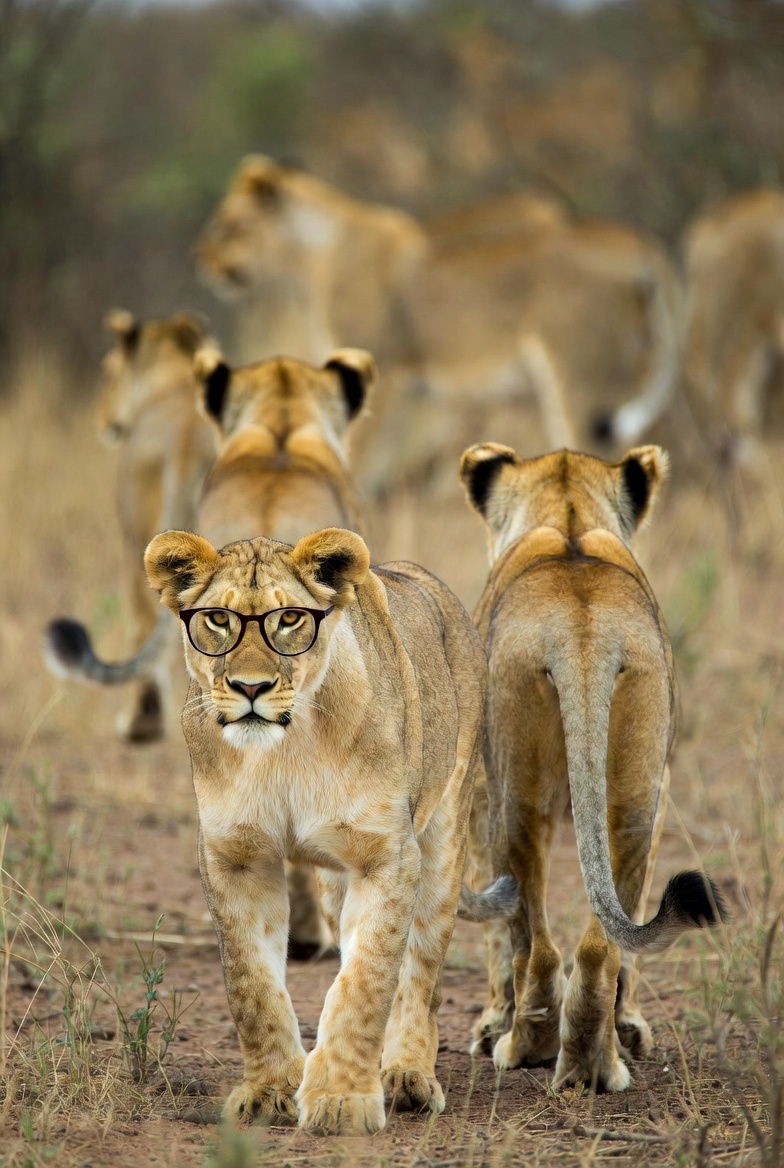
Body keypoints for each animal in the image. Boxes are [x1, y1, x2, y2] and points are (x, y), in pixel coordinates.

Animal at [143, 525, 514, 1135]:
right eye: (218, 619)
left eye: (290, 618)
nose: (250, 687)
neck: (286, 750)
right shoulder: (235, 857)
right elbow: (252, 985)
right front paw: (270, 1090)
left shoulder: (387, 856)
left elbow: (366, 981)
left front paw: (343, 1100)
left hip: (443, 839)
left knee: (421, 973)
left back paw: (408, 1075)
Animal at [194, 155, 682, 494]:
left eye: (229, 224)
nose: (204, 263)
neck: (312, 256)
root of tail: (640, 246)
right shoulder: (405, 393)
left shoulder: (385, 378)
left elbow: (355, 467)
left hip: (577, 382)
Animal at [459, 442, 725, 1092]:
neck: (568, 516)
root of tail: (582, 633)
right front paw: (629, 1028)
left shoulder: (476, 792)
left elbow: (497, 932)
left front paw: (490, 1025)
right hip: (635, 792)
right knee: (602, 946)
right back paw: (594, 1066)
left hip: (514, 792)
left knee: (537, 945)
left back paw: (525, 1046)